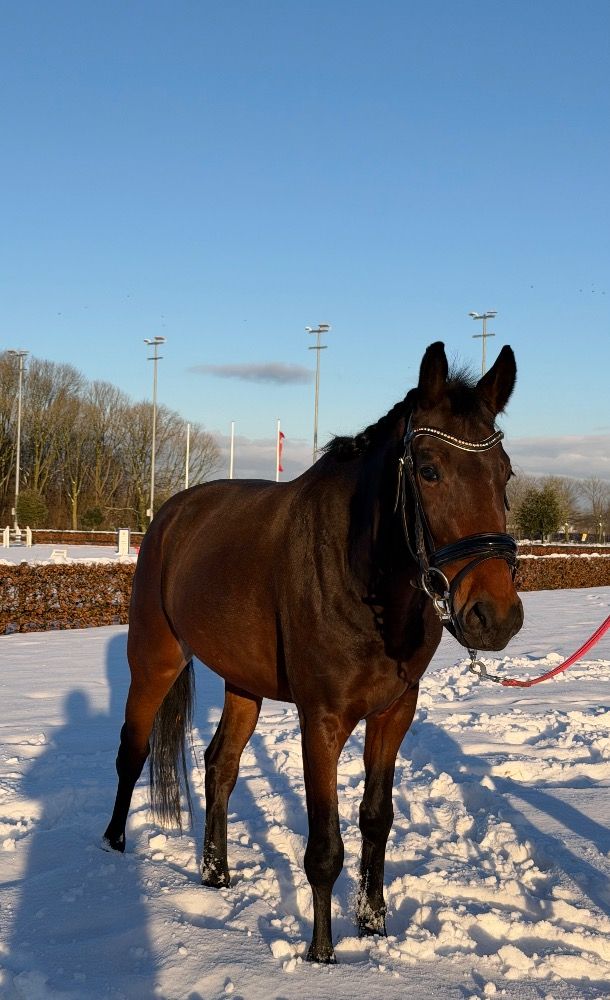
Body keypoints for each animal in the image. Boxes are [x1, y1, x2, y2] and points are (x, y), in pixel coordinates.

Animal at [103, 341, 523, 963]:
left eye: (505, 473)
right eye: (429, 470)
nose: (495, 617)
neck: (360, 575)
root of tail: (172, 515)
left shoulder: (393, 712)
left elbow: (376, 819)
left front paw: (373, 924)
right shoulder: (321, 720)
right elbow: (325, 844)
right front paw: (322, 953)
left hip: (243, 683)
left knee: (220, 765)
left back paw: (216, 872)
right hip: (155, 661)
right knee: (132, 751)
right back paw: (111, 849)